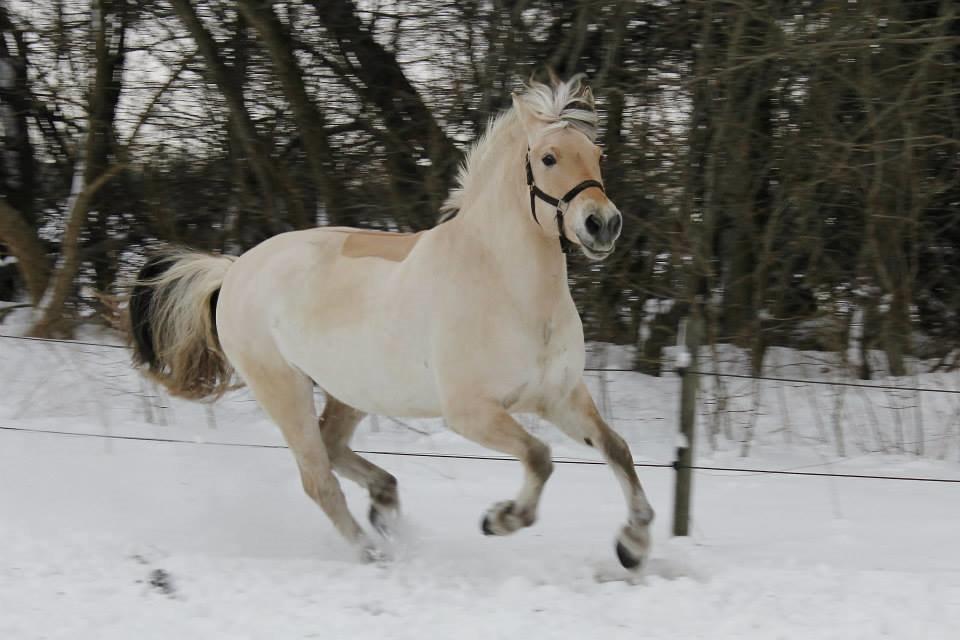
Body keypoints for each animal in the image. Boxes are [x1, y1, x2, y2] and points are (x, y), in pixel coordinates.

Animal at [129, 75, 652, 568]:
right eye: (548, 158)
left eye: (596, 154)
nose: (603, 224)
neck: (510, 288)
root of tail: (234, 269)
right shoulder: (472, 412)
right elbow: (541, 458)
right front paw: (501, 518)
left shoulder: (558, 396)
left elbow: (617, 448)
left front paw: (634, 545)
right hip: (283, 388)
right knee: (317, 477)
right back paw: (373, 553)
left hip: (350, 390)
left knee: (332, 447)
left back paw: (384, 503)